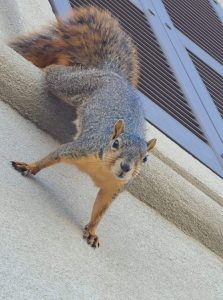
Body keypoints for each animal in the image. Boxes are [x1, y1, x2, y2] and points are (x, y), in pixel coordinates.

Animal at [10, 6, 156, 248]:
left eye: (145, 159)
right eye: (115, 143)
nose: (126, 167)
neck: (103, 169)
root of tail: (112, 74)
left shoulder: (114, 188)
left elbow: (100, 209)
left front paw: (92, 231)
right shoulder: (81, 148)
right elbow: (53, 156)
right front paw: (30, 167)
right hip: (72, 84)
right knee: (56, 73)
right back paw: (50, 67)